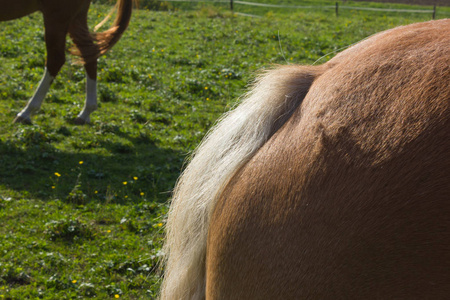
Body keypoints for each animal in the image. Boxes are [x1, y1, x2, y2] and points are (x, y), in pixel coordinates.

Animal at [0, 0, 136, 124]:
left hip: (57, 17)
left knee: (56, 60)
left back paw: (27, 112)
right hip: (76, 18)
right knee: (89, 54)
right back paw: (85, 113)